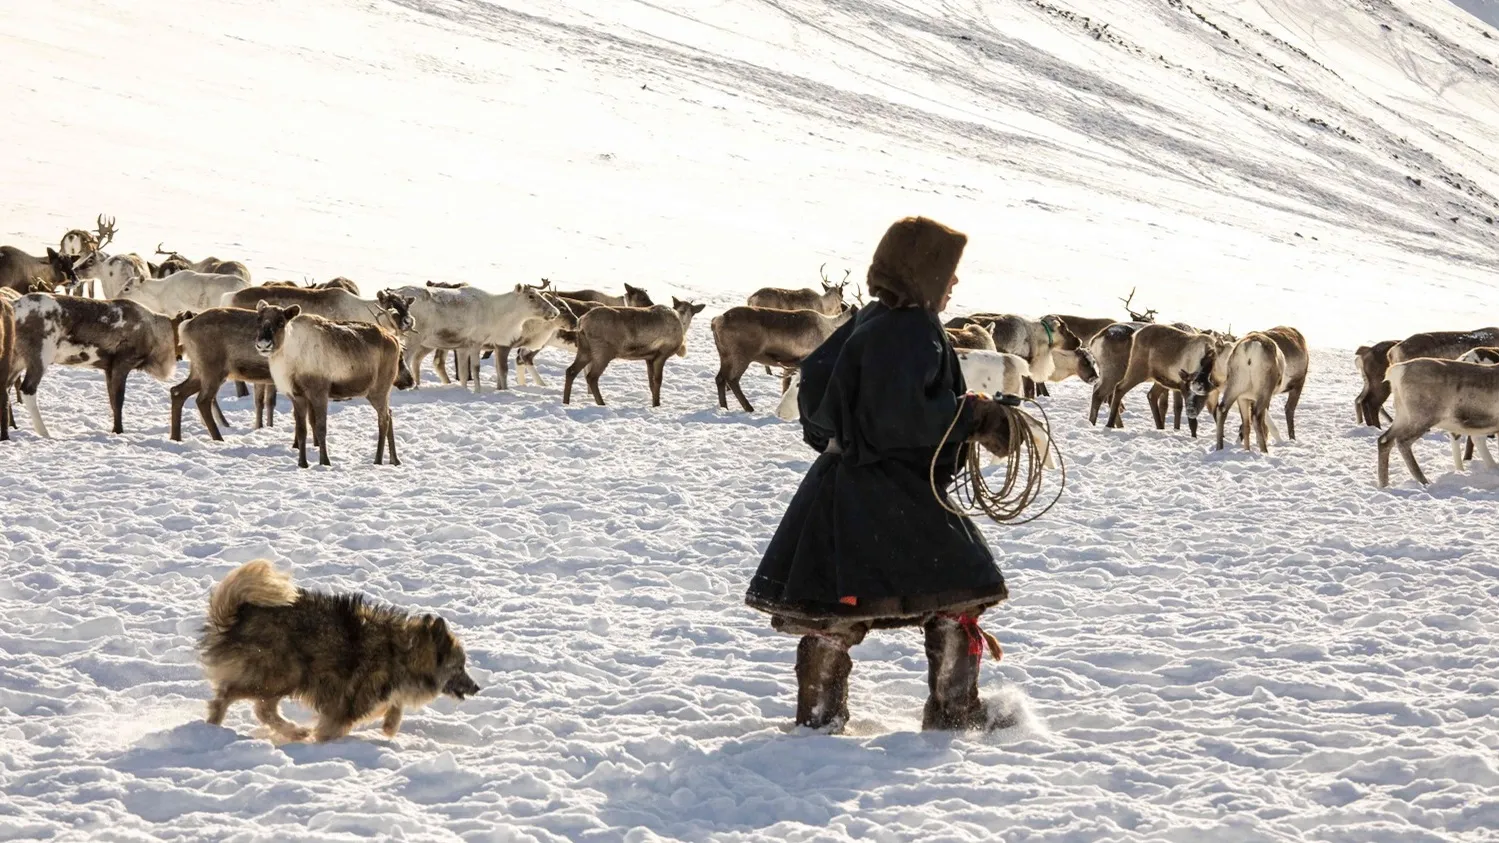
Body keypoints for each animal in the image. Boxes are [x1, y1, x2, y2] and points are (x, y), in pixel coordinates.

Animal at [199, 561, 479, 738]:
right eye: (459, 667)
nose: (477, 687)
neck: (402, 655)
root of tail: (239, 615)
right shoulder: (346, 708)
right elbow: (335, 728)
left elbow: (392, 706)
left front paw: (390, 725)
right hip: (282, 675)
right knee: (227, 695)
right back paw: (213, 727)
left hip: (284, 678)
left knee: (262, 709)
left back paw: (295, 732)